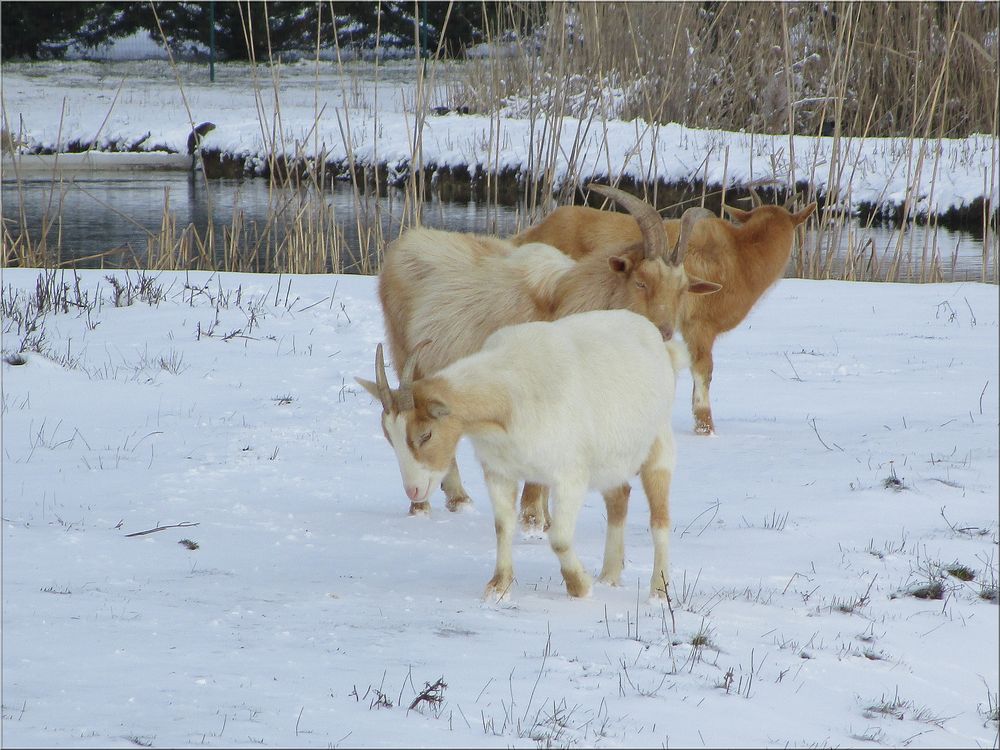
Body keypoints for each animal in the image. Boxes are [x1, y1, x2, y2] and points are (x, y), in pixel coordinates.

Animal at [356, 308, 684, 604]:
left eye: (426, 434)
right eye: (389, 437)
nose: (413, 490)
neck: (509, 392)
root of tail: (656, 341)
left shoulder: (570, 477)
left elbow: (559, 537)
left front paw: (579, 586)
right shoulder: (499, 472)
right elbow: (503, 527)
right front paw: (498, 588)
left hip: (659, 446)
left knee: (660, 519)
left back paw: (658, 591)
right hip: (611, 463)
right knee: (619, 498)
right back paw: (609, 576)